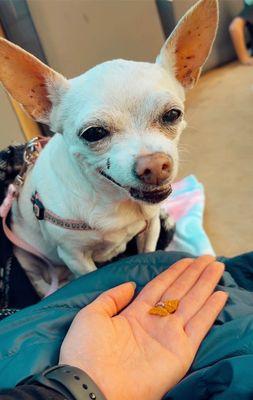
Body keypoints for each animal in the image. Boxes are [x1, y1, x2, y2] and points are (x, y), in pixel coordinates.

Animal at [0, 0, 217, 294]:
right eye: (93, 134)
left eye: (172, 115)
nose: (154, 165)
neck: (113, 202)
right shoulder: (75, 257)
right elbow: (90, 276)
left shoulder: (150, 227)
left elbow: (148, 252)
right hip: (28, 260)